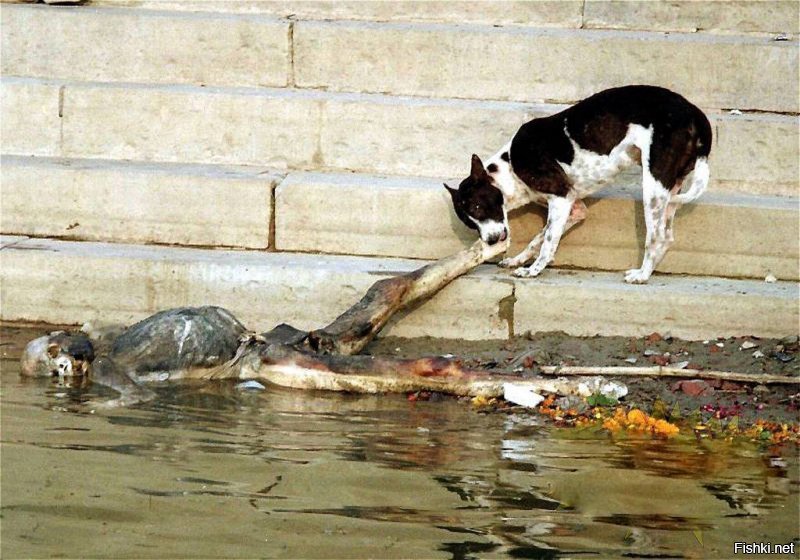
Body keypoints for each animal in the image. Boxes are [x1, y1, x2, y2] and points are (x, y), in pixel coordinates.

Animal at [444, 85, 712, 282]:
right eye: (470, 223)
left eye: (478, 207)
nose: (489, 242)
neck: (509, 167)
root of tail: (695, 113)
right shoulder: (573, 209)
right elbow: (538, 239)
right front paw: (518, 260)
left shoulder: (560, 198)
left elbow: (548, 242)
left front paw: (533, 270)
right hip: (670, 191)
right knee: (666, 237)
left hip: (654, 189)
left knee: (655, 237)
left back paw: (642, 275)